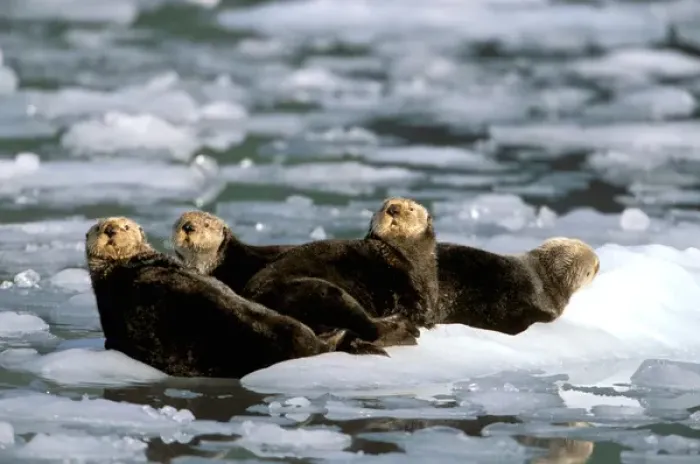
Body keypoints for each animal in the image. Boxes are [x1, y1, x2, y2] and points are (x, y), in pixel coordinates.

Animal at [240, 197, 438, 347]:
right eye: (383, 206)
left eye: (411, 209)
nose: (393, 209)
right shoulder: (401, 281)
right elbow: (414, 308)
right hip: (320, 292)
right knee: (368, 328)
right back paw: (404, 329)